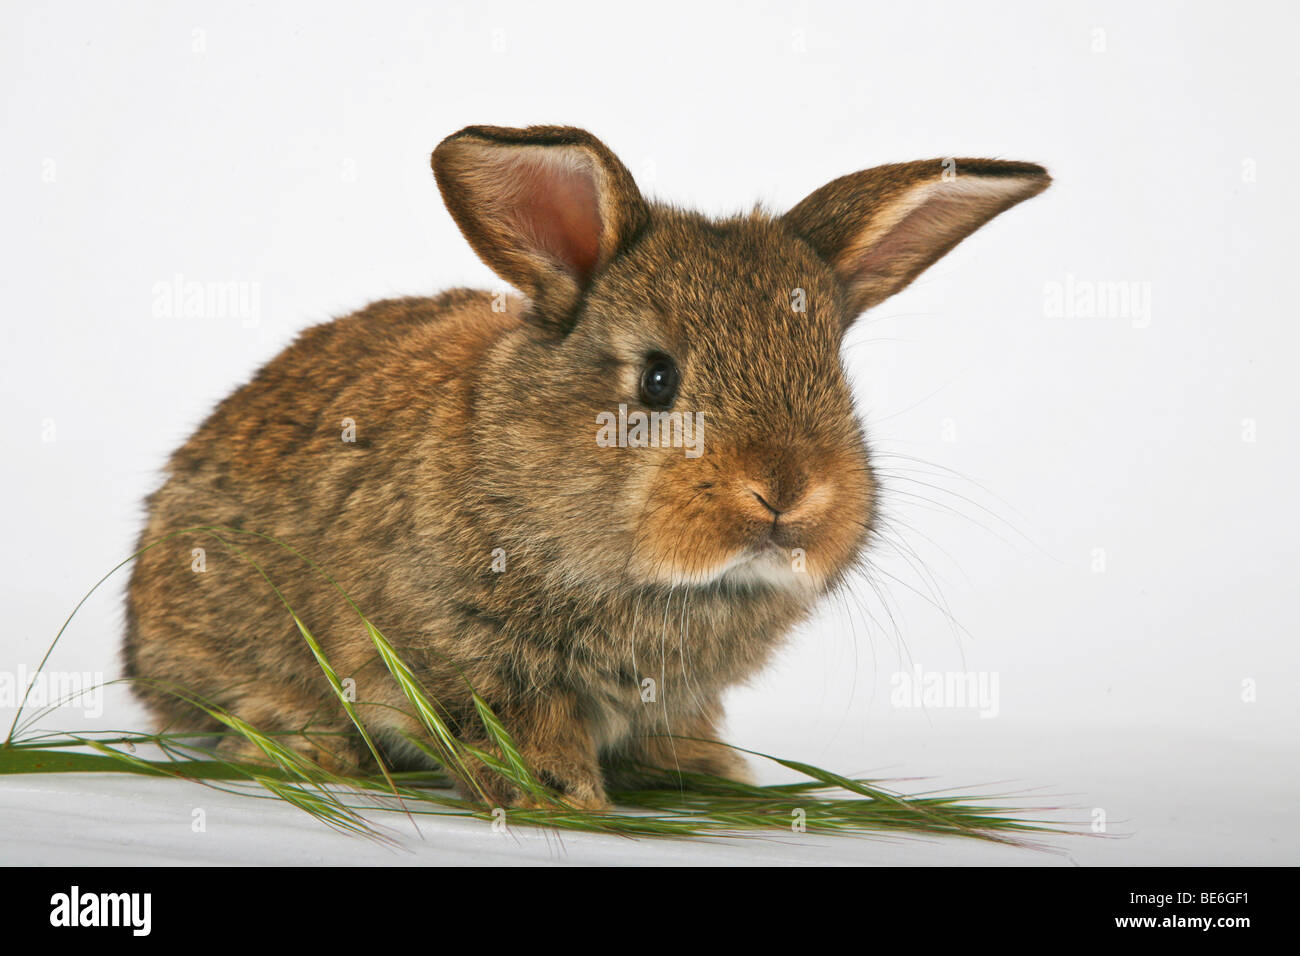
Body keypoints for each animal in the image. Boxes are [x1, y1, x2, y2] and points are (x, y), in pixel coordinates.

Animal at [123, 125, 1049, 808]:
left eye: (835, 376)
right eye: (657, 378)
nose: (788, 493)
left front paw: (709, 775)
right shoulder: (461, 656)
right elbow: (509, 724)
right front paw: (564, 796)